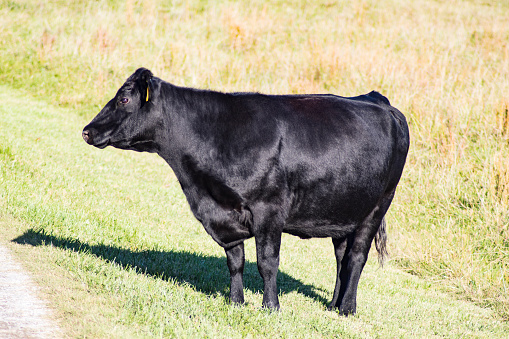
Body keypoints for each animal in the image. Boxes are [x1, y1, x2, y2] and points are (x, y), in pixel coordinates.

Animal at [83, 69, 408, 316]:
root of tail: (380, 101)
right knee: (341, 258)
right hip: (342, 210)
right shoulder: (224, 214)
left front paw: (270, 307)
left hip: (378, 205)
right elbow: (235, 260)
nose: (87, 130)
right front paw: (236, 301)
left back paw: (347, 309)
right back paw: (332, 304)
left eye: (124, 99)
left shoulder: (269, 211)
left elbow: (267, 263)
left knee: (356, 257)